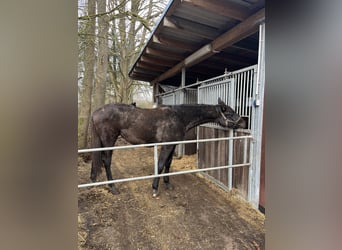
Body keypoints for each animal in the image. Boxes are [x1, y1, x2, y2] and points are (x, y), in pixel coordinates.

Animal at [90, 97, 246, 197]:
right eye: (229, 113)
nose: (243, 123)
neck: (179, 117)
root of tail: (96, 112)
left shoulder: (173, 145)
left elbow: (168, 164)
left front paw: (167, 184)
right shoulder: (166, 145)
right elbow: (160, 164)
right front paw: (154, 189)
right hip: (109, 140)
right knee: (106, 161)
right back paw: (113, 187)